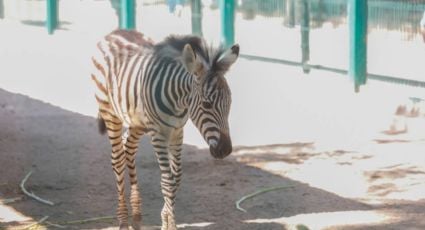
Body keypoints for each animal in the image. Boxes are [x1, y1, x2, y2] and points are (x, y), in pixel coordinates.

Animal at [90, 29, 238, 230]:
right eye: (206, 104)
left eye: (230, 103)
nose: (225, 150)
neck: (178, 102)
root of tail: (114, 32)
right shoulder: (158, 134)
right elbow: (167, 180)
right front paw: (171, 225)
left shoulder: (177, 132)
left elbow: (176, 178)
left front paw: (165, 219)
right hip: (110, 112)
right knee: (117, 159)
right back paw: (123, 220)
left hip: (137, 121)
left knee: (128, 150)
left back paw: (136, 215)